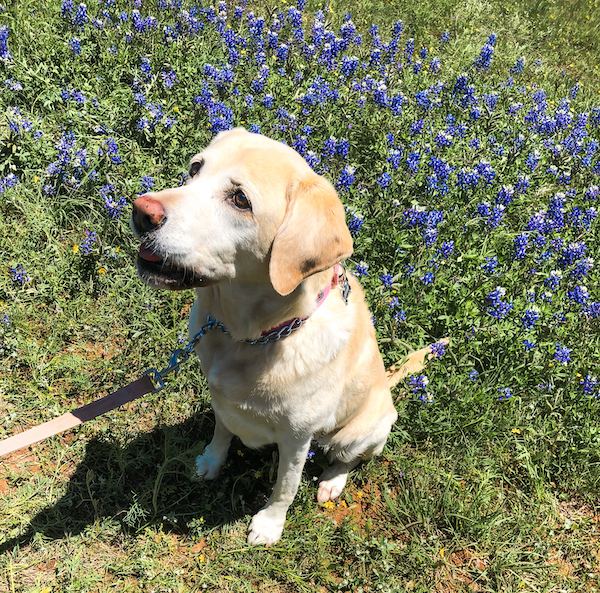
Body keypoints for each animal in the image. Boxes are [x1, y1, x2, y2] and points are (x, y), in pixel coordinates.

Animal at [131, 130, 434, 544]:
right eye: (195, 168)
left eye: (240, 199)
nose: (141, 210)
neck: (247, 335)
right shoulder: (222, 399)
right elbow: (221, 434)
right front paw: (210, 462)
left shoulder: (296, 437)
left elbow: (285, 486)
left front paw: (269, 524)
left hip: (362, 431)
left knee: (347, 459)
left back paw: (331, 482)